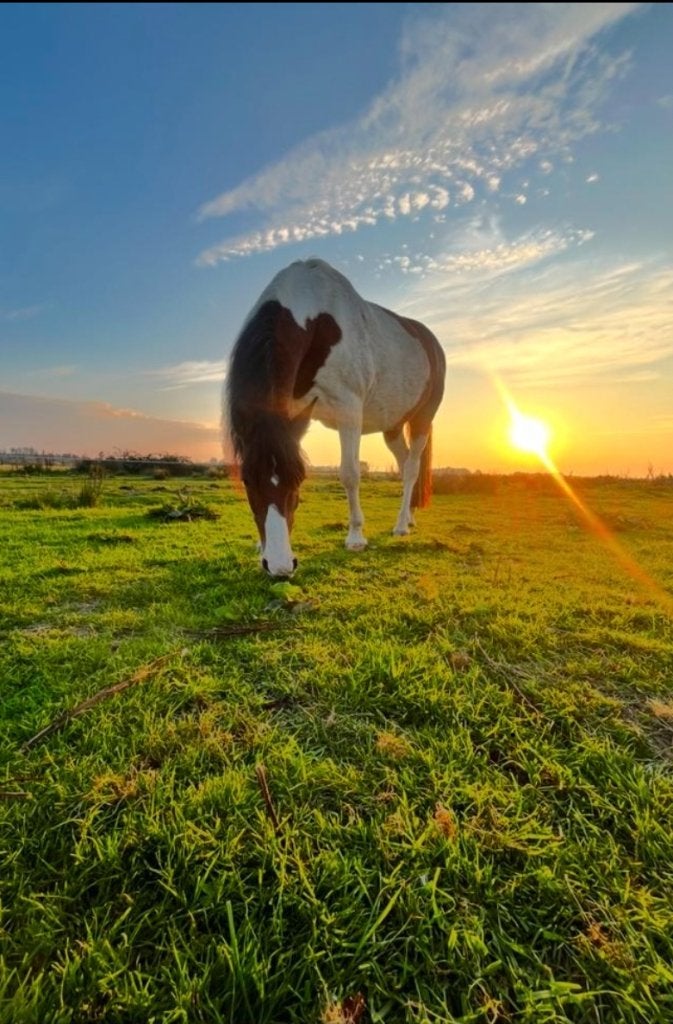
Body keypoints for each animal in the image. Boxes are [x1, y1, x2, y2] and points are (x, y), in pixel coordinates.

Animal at [224, 258, 446, 576]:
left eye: (299, 478)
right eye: (247, 480)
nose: (280, 566)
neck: (314, 318)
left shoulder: (348, 410)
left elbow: (350, 473)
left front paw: (355, 537)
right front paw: (259, 544)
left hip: (422, 420)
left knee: (413, 467)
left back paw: (401, 527)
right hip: (392, 426)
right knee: (404, 465)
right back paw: (409, 517)